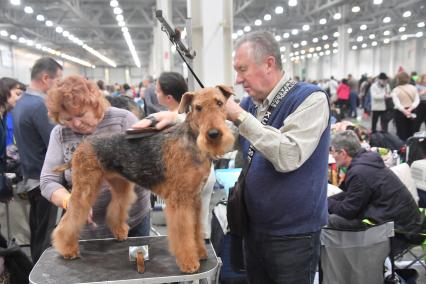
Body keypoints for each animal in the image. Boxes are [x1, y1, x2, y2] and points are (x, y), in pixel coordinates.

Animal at [52, 85, 236, 272]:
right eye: (198, 107)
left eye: (219, 103)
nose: (213, 134)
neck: (191, 141)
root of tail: (83, 145)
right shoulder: (180, 200)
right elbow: (184, 232)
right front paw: (189, 262)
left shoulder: (195, 199)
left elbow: (196, 229)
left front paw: (200, 253)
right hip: (85, 187)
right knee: (70, 218)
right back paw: (67, 248)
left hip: (120, 185)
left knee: (115, 209)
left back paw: (119, 232)